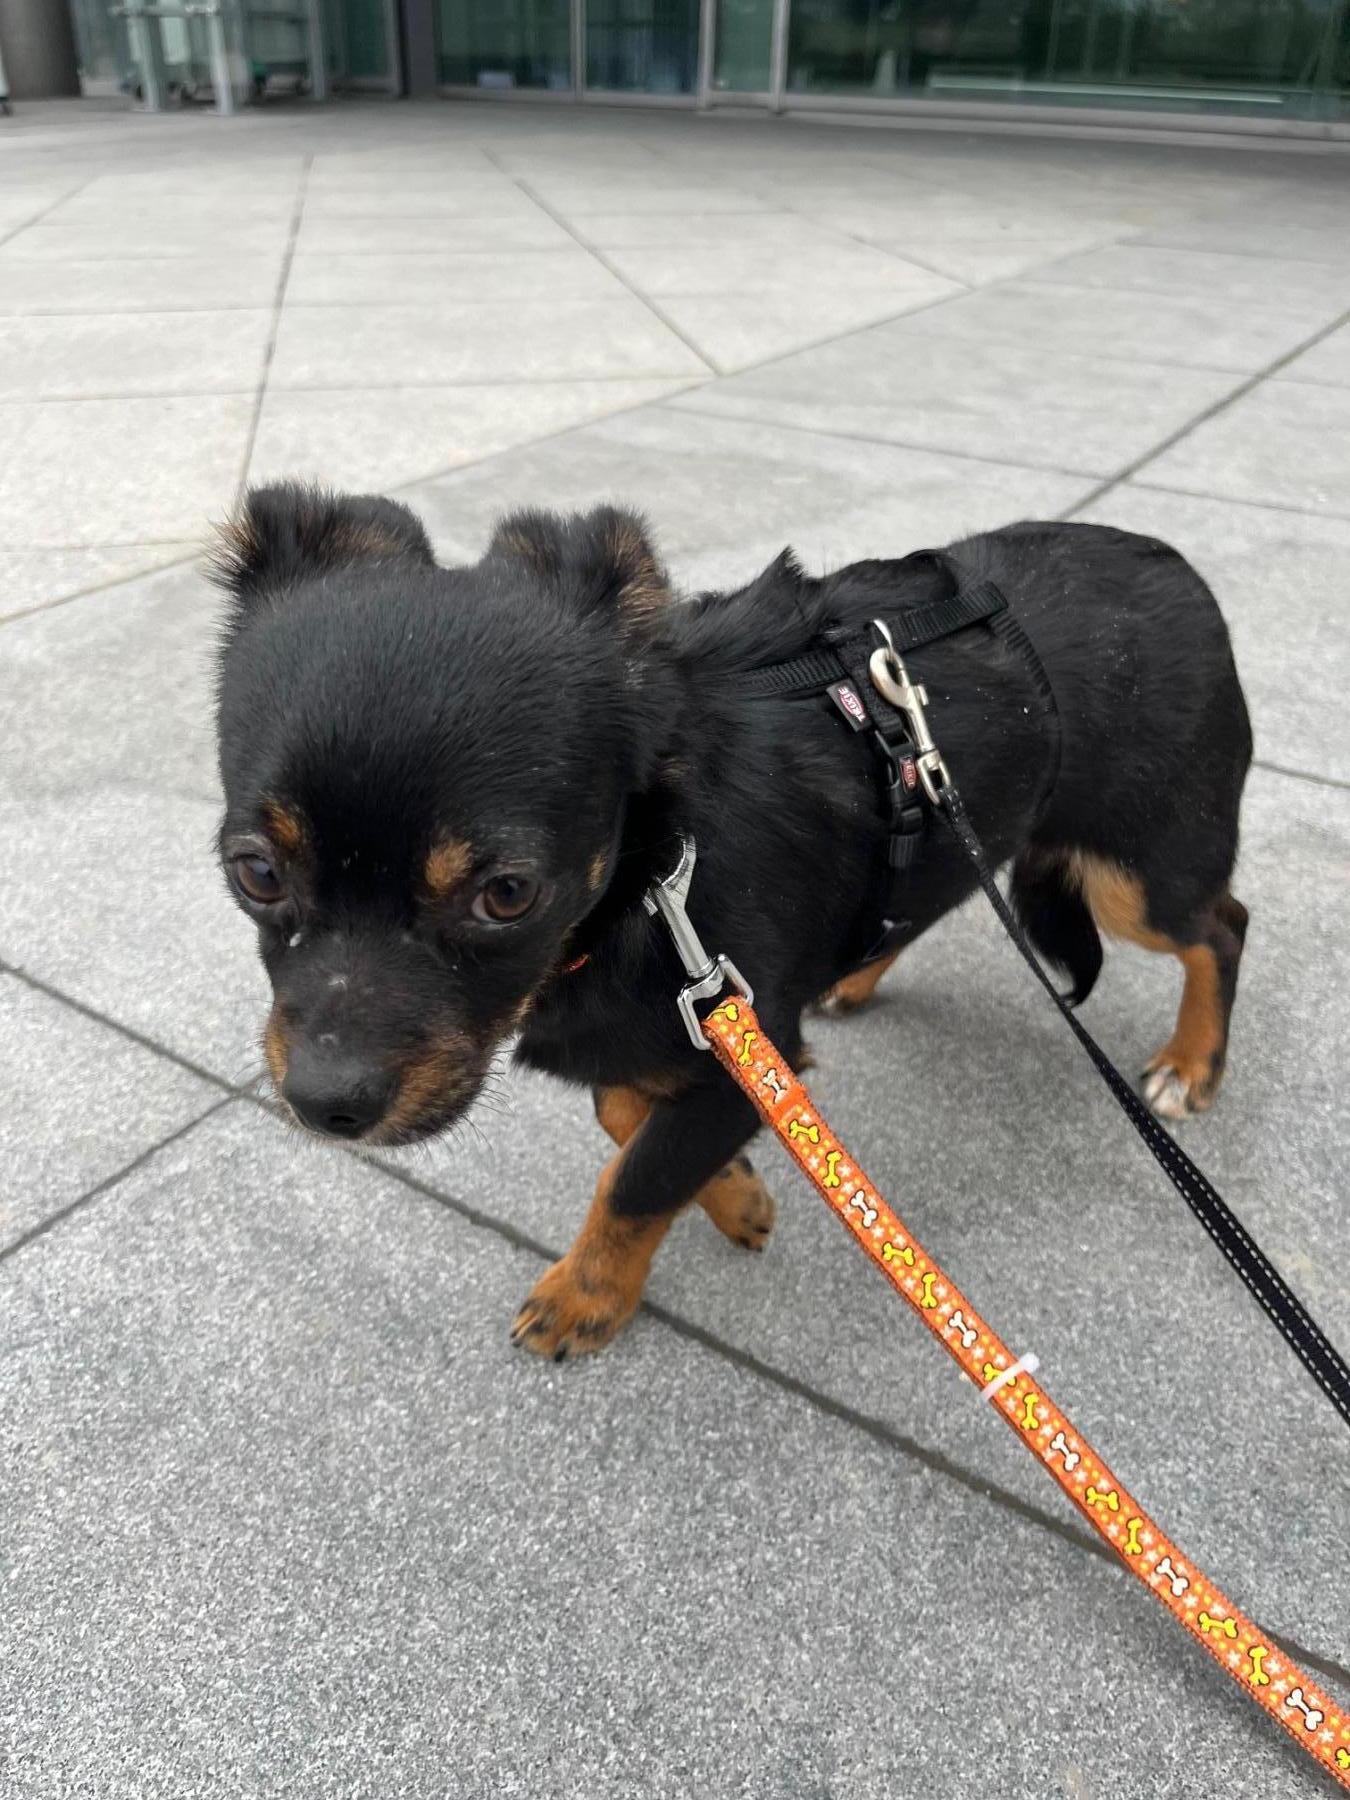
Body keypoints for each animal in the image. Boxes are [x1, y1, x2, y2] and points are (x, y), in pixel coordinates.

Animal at [213, 484, 1252, 1360]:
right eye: (254, 872)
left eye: (507, 894)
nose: (325, 1105)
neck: (647, 881)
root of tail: (1179, 568)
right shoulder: (716, 1020)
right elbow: (627, 1111)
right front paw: (739, 1191)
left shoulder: (752, 1031)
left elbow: (636, 1175)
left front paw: (586, 1294)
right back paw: (857, 973)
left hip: (1133, 878)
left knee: (1222, 926)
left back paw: (1191, 1062)